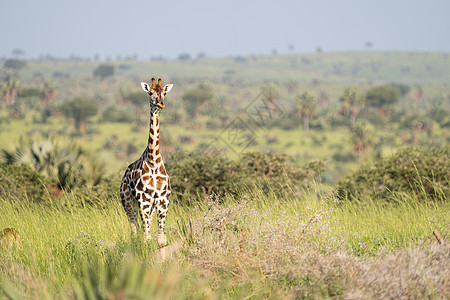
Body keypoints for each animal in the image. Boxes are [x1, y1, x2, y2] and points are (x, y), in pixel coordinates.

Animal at [120, 78, 173, 247]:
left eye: (164, 93)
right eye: (150, 93)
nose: (160, 104)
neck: (153, 160)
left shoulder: (163, 200)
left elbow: (161, 239)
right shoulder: (144, 200)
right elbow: (146, 237)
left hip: (149, 206)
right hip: (128, 203)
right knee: (135, 229)